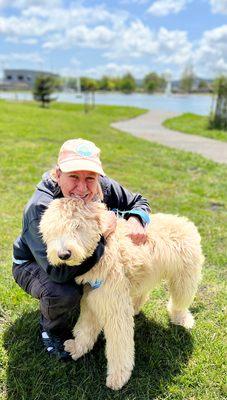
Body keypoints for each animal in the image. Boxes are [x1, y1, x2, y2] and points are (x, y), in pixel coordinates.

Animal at [39, 198, 204, 390]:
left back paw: (182, 319)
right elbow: (85, 328)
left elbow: (119, 345)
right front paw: (78, 348)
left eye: (77, 226)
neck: (103, 250)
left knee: (180, 301)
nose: (63, 255)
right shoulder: (93, 300)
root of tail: (184, 221)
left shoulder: (114, 308)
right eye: (53, 230)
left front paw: (118, 377)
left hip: (184, 278)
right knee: (143, 294)